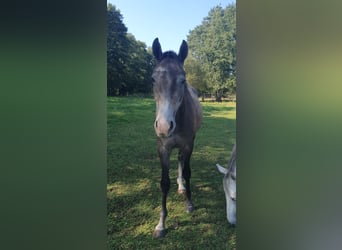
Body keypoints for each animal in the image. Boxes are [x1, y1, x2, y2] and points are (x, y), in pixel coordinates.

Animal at [151, 38, 202, 237]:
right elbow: (164, 183)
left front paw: (189, 203)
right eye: (153, 78)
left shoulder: (188, 145)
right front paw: (161, 224)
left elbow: (187, 172)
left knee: (181, 160)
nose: (164, 126)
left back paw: (182, 188)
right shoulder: (163, 148)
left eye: (183, 80)